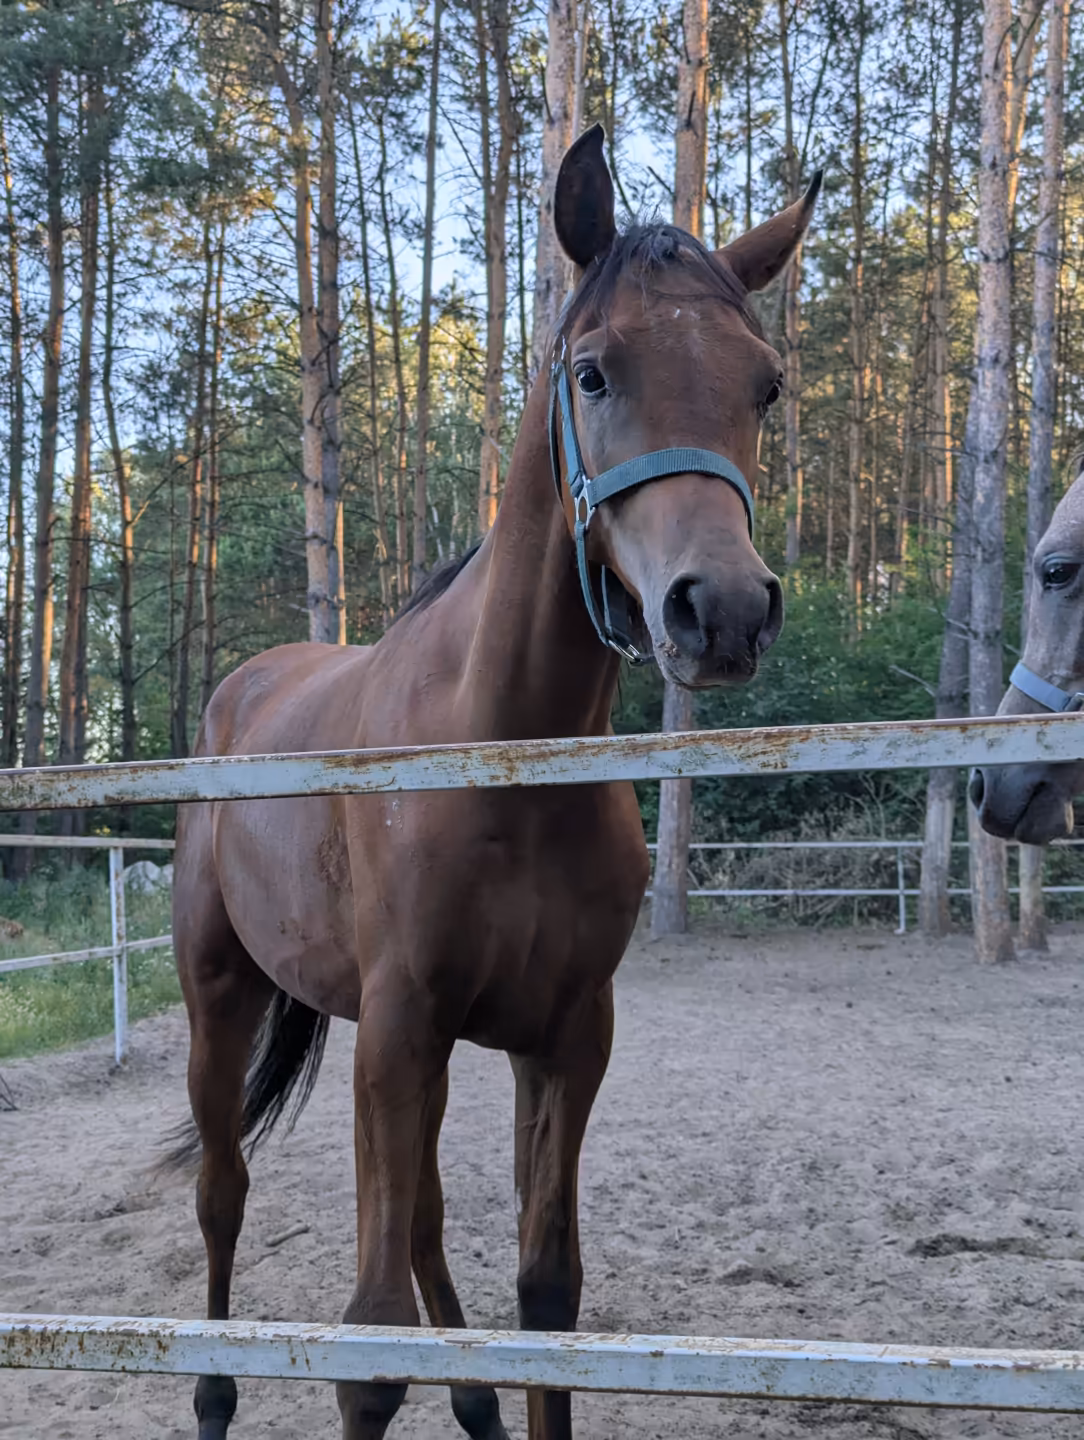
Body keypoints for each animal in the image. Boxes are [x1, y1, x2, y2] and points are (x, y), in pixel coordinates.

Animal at [169, 124, 820, 1440]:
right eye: (594, 374)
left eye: (763, 386)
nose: (722, 611)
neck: (505, 761)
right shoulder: (403, 1031)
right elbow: (369, 1347)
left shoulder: (560, 1040)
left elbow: (546, 1295)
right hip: (223, 1000)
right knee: (224, 1191)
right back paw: (212, 1396)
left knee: (417, 1219)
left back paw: (471, 1400)